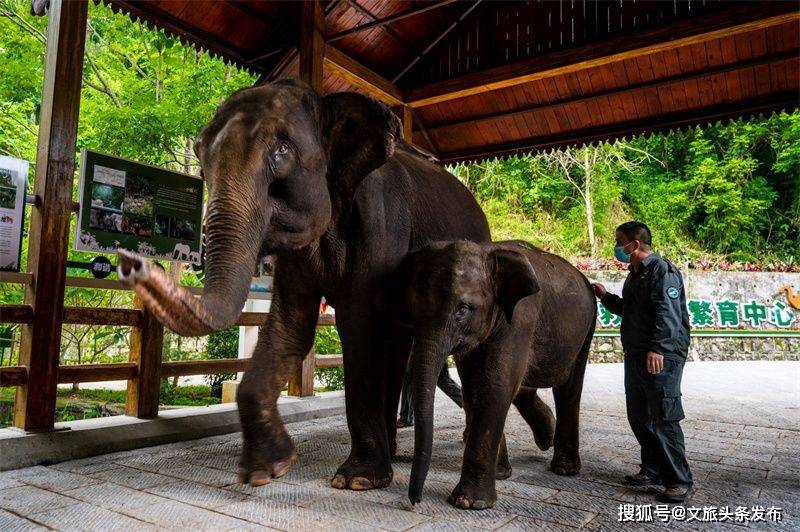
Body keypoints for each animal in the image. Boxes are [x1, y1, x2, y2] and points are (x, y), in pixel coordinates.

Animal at [115, 79, 490, 490]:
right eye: (199, 154)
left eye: (282, 151)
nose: (131, 262)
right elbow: (290, 324)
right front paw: (265, 470)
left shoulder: (383, 224)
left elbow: (359, 325)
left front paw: (356, 480)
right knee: (398, 345)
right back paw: (393, 452)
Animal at [396, 239, 596, 510]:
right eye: (413, 308)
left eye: (463, 309)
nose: (414, 501)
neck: (486, 251)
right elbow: (473, 388)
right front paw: (500, 475)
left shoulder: (520, 319)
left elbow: (495, 385)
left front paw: (469, 503)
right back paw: (547, 436)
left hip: (586, 329)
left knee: (569, 388)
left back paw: (565, 468)